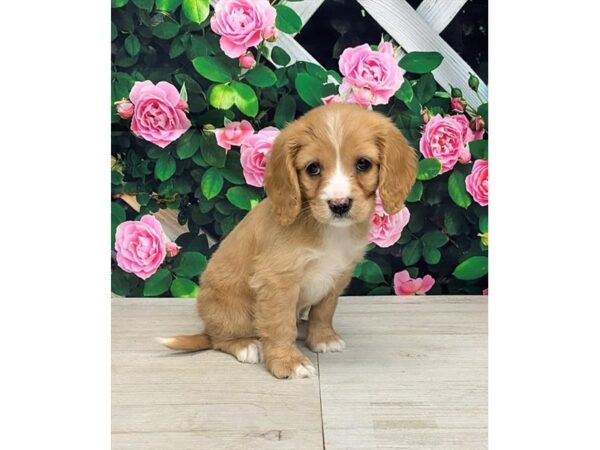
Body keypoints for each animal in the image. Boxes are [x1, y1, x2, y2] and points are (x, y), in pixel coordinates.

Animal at [162, 103, 420, 378]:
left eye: (363, 164)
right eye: (313, 168)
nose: (339, 205)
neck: (327, 229)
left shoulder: (338, 275)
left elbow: (324, 311)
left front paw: (322, 338)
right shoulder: (278, 280)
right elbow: (280, 325)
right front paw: (288, 362)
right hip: (233, 312)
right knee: (220, 338)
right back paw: (244, 346)